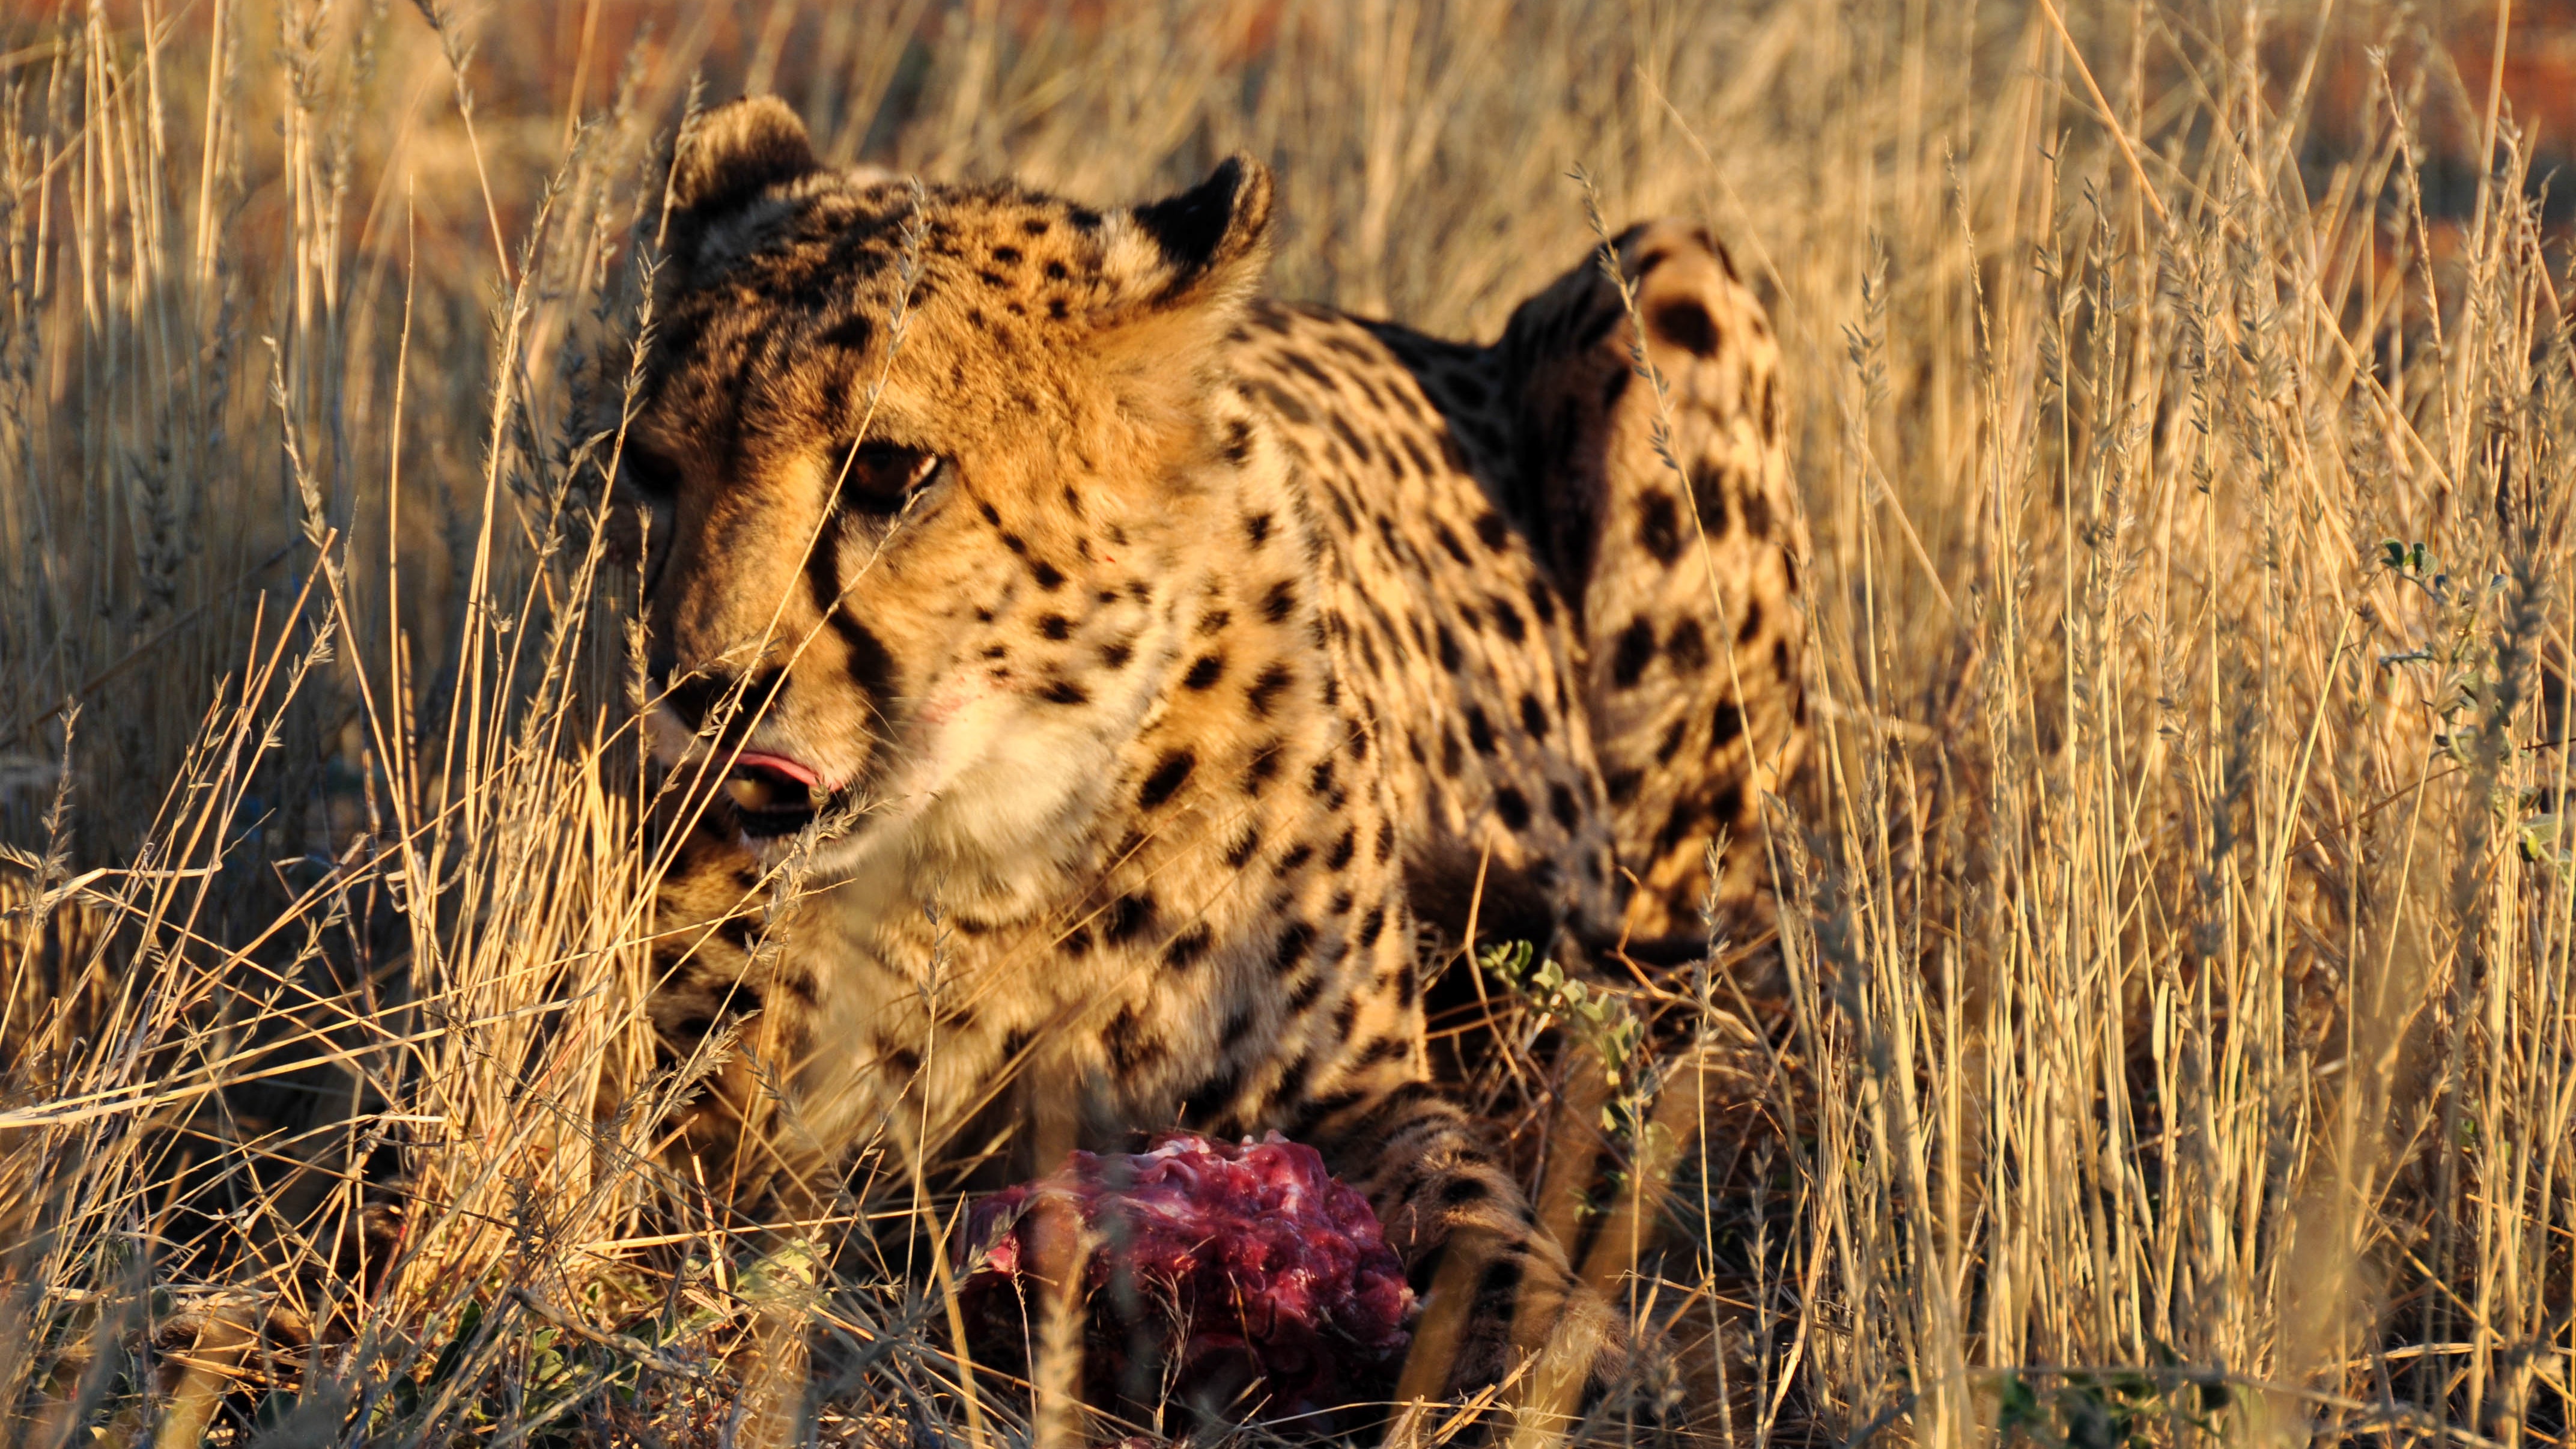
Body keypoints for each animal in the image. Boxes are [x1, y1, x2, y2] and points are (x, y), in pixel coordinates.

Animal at [610, 99, 1803, 1402]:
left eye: (888, 469)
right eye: (653, 471)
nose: (694, 688)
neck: (997, 836)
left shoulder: (1351, 1094)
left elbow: (1470, 1206)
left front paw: (1558, 1353)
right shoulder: (723, 1117)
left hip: (1668, 273)